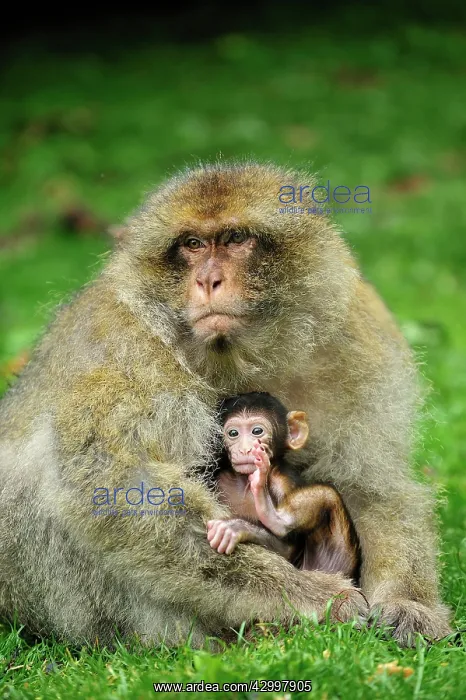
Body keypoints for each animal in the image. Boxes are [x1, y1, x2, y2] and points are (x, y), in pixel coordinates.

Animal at [207, 392, 360, 581]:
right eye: (233, 433)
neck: (244, 482)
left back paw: (274, 517)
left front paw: (236, 528)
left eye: (257, 431)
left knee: (328, 494)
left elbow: (287, 550)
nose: (245, 449)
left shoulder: (283, 480)